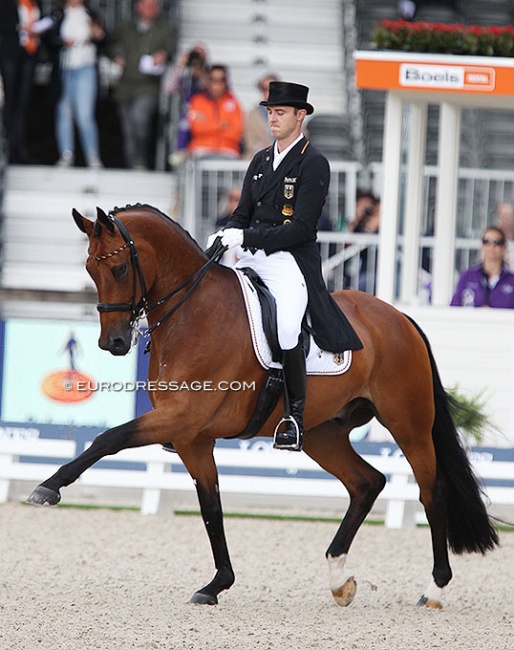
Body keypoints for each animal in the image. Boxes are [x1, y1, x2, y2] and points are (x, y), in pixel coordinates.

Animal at [27, 204, 496, 608]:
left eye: (121, 268)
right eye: (90, 270)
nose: (114, 342)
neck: (191, 313)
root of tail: (399, 317)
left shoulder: (179, 419)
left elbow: (108, 438)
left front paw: (48, 487)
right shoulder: (192, 438)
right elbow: (211, 507)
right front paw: (217, 584)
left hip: (409, 424)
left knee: (431, 491)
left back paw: (433, 589)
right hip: (323, 434)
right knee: (367, 483)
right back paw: (339, 579)